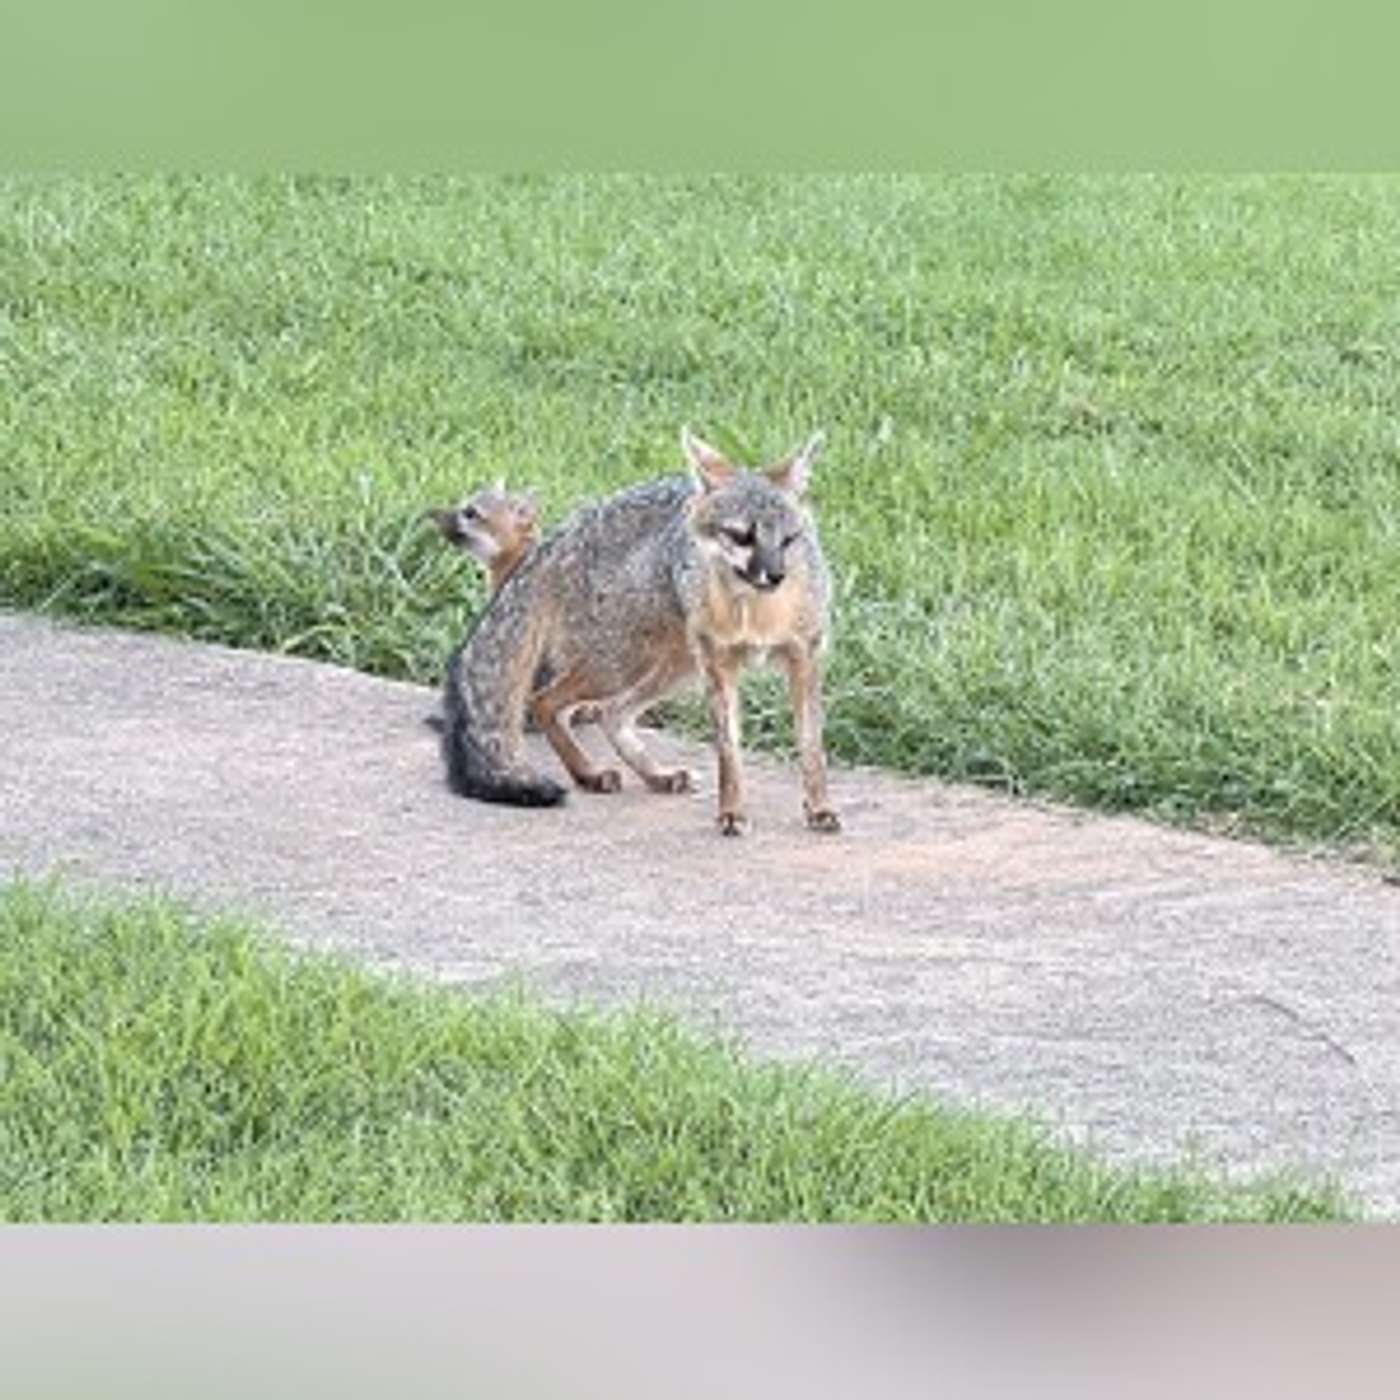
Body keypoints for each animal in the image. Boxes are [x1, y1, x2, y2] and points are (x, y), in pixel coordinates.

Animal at [440, 427, 839, 835]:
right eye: (741, 536)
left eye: (790, 539)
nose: (775, 575)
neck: (755, 613)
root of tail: (562, 535)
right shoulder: (718, 664)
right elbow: (728, 750)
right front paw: (732, 812)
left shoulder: (806, 656)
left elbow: (811, 745)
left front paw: (820, 807)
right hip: (622, 665)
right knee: (546, 703)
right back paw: (588, 773)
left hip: (672, 668)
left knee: (610, 714)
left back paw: (656, 777)